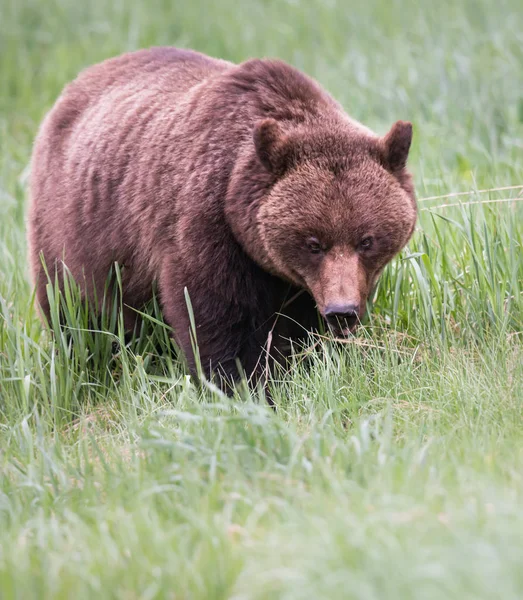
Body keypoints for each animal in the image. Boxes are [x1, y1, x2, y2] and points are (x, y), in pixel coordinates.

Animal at [28, 48, 420, 390]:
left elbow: (300, 331)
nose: (342, 311)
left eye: (366, 240)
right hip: (73, 227)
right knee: (74, 310)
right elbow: (214, 318)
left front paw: (303, 365)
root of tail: (76, 84)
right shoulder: (209, 227)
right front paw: (241, 384)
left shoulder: (303, 283)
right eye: (313, 243)